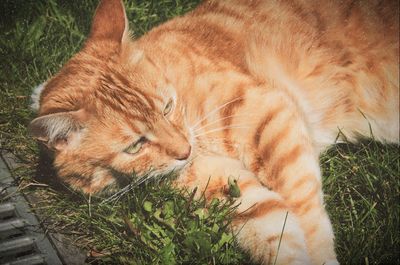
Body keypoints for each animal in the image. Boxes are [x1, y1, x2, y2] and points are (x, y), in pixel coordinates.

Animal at [29, 1, 398, 262]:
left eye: (167, 107)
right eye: (135, 145)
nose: (184, 151)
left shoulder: (272, 116)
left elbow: (304, 207)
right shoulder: (225, 189)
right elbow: (275, 230)